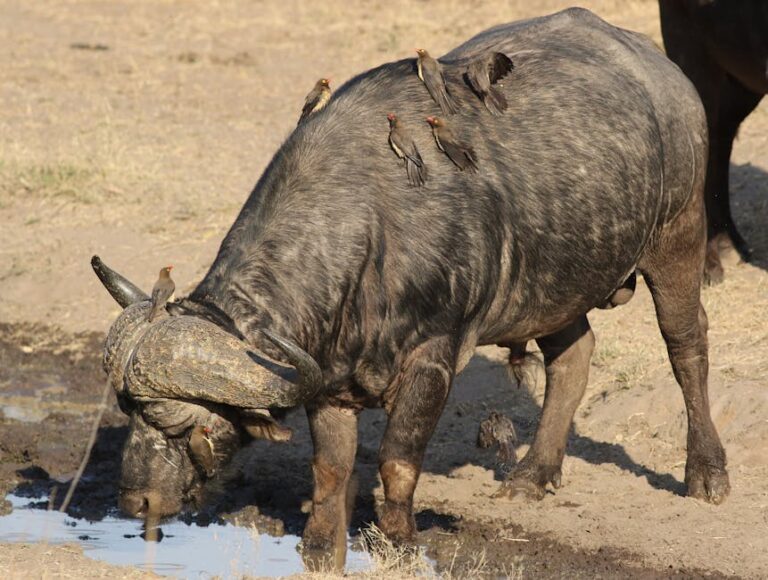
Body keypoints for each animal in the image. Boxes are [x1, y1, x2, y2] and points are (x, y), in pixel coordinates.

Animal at [94, 8, 729, 548]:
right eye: (126, 413)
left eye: (179, 424)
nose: (133, 501)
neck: (372, 227)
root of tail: (662, 70)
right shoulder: (327, 378)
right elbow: (330, 469)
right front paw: (319, 543)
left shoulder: (433, 358)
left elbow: (398, 459)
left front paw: (398, 538)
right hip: (556, 283)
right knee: (574, 355)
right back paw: (533, 473)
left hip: (678, 234)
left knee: (687, 344)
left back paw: (706, 472)